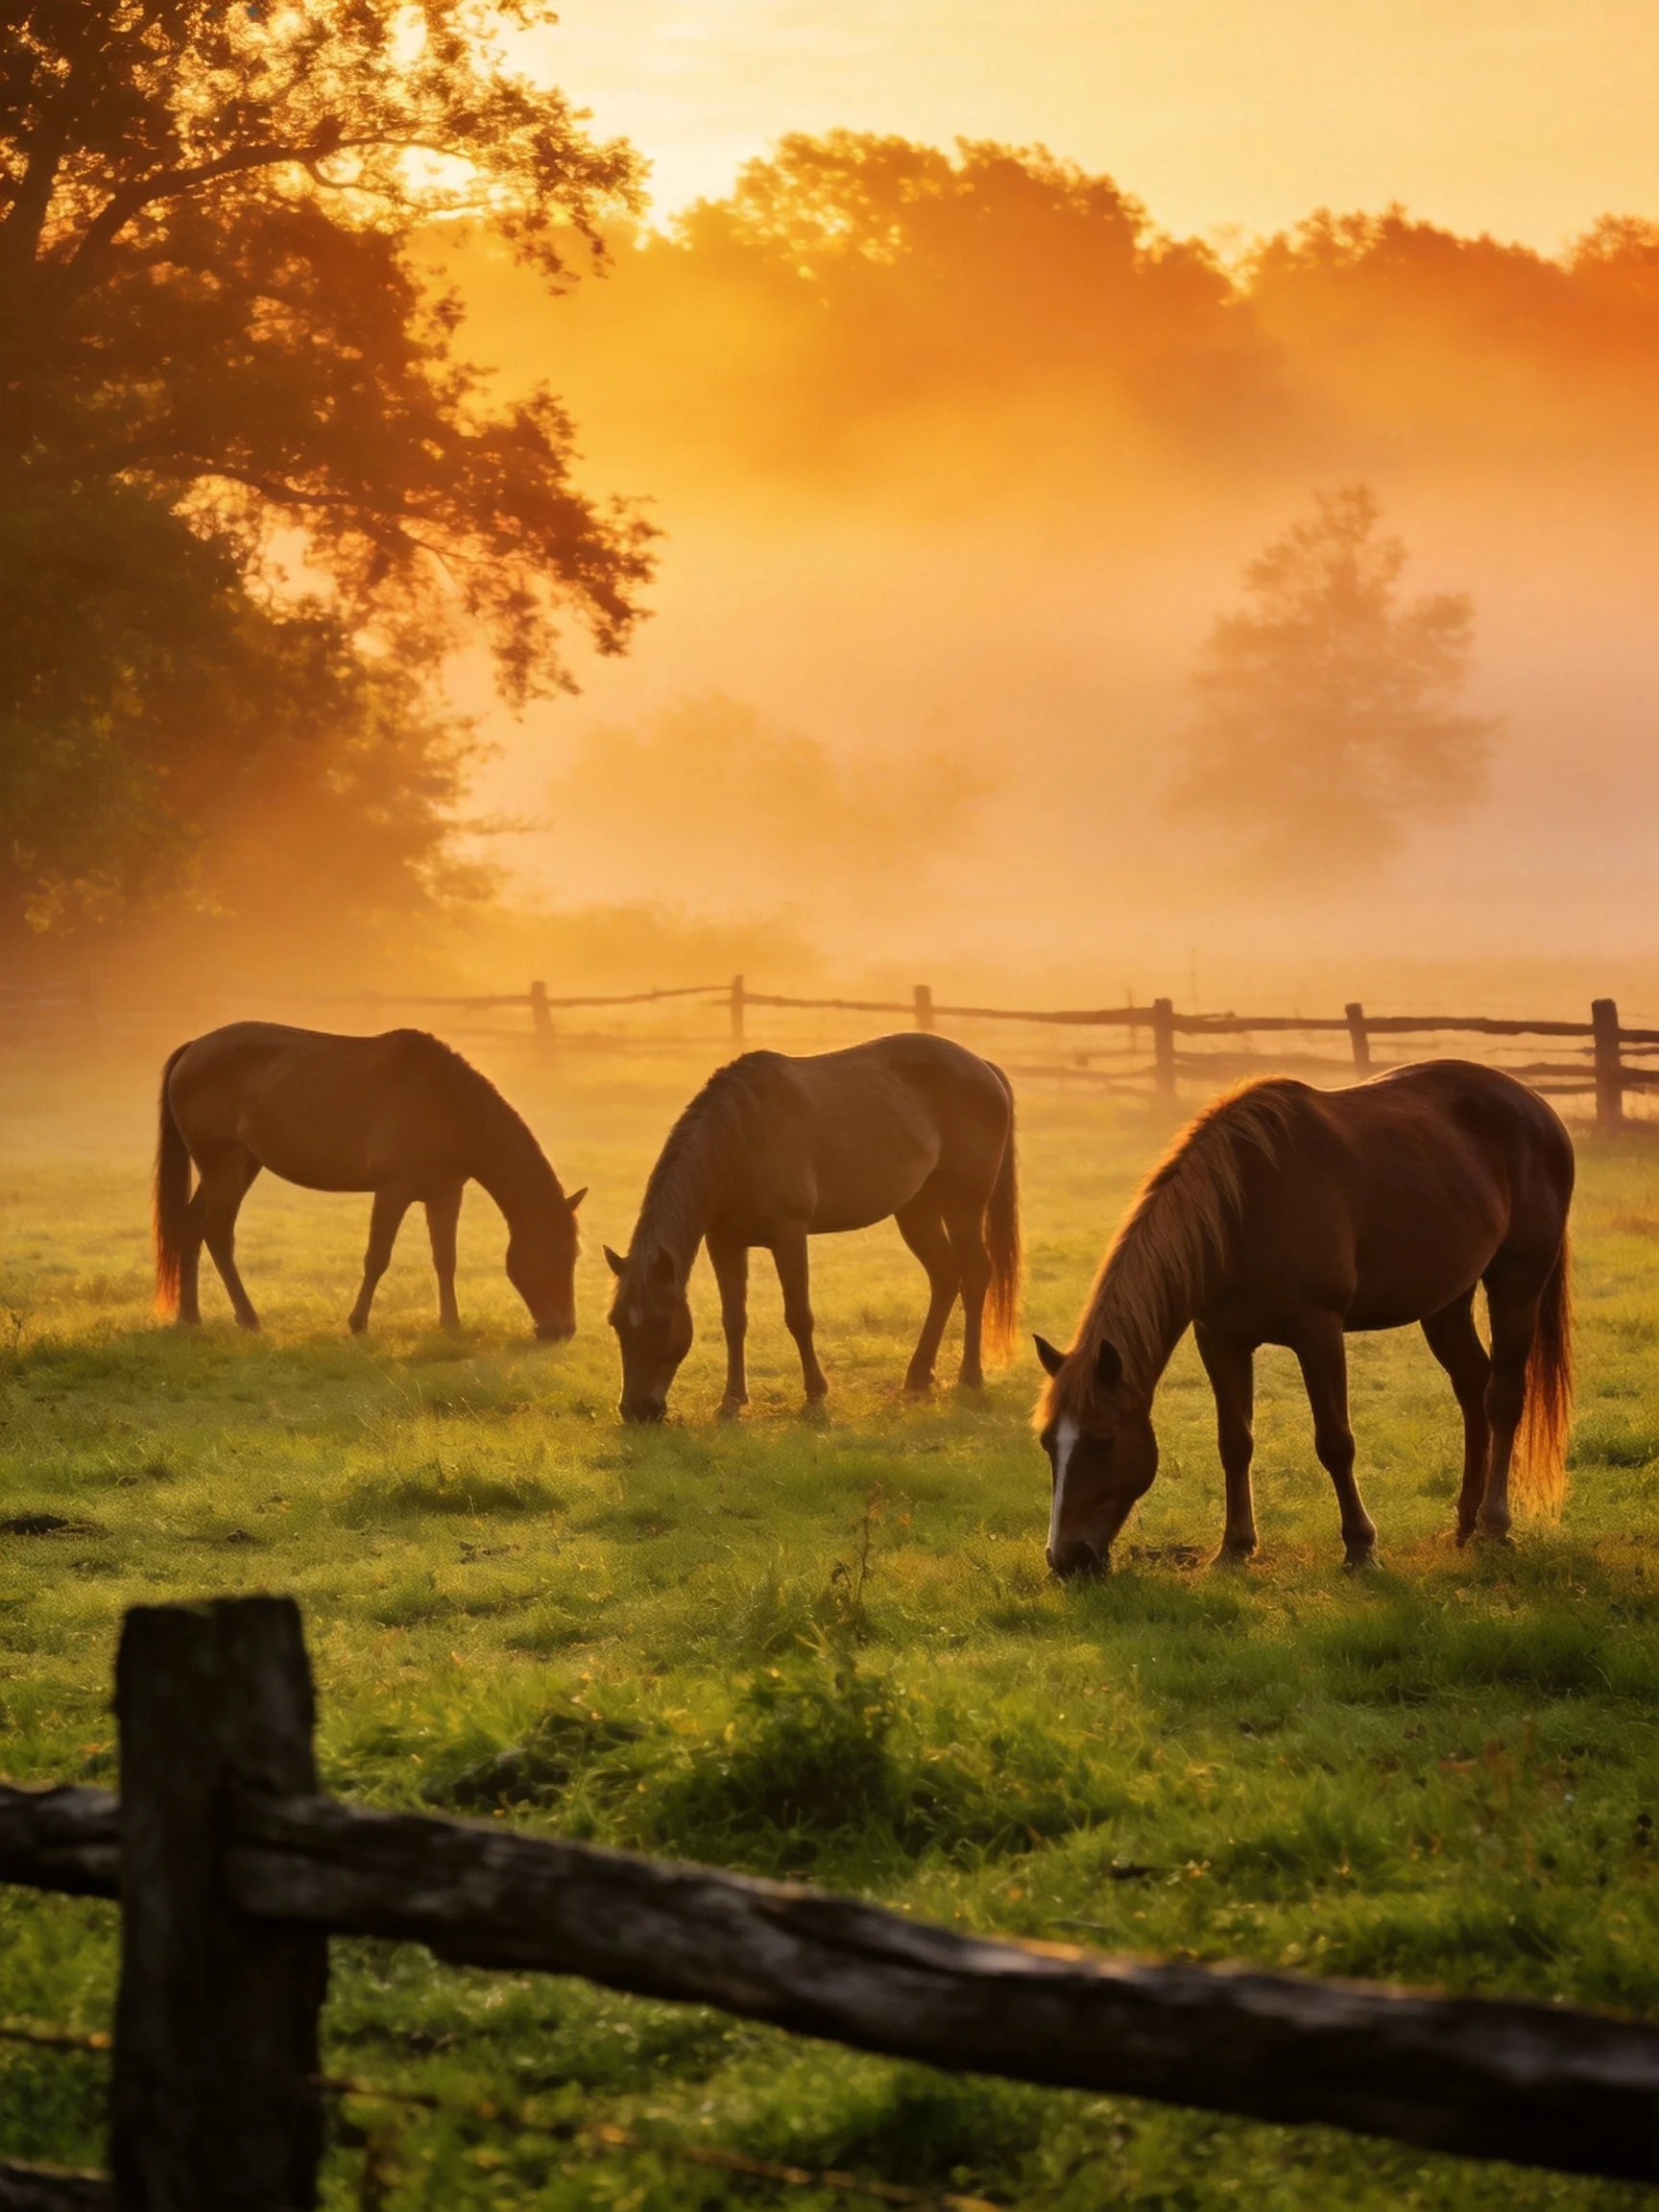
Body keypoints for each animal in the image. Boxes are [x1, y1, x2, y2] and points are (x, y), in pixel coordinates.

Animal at [153, 1024, 585, 1339]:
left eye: (574, 1256)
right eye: (555, 1253)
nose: (562, 1330)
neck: (445, 1102)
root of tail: (192, 1049)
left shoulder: (446, 1194)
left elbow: (445, 1259)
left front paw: (451, 1323)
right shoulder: (393, 1190)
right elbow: (377, 1257)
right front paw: (358, 1323)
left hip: (239, 1167)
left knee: (191, 1226)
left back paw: (190, 1317)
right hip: (225, 1168)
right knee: (217, 1234)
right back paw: (248, 1318)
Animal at [604, 1033, 1019, 1421]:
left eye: (661, 1321)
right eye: (616, 1323)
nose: (637, 1410)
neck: (740, 1137)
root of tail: (982, 1066)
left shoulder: (789, 1235)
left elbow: (799, 1316)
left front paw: (815, 1394)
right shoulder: (724, 1242)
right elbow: (734, 1320)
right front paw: (732, 1400)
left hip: (964, 1204)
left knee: (974, 1274)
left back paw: (970, 1377)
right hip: (918, 1210)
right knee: (945, 1275)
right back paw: (918, 1378)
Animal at [1033, 1060, 1573, 1576]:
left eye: (1103, 1442)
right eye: (1046, 1443)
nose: (1066, 1559)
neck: (1242, 1208)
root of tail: (1537, 1108)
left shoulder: (1318, 1333)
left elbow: (1335, 1442)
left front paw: (1361, 1547)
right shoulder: (1220, 1339)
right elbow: (1234, 1441)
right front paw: (1234, 1547)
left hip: (1518, 1282)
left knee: (1502, 1396)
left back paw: (1493, 1525)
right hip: (1446, 1301)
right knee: (1472, 1388)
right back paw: (1464, 1522)